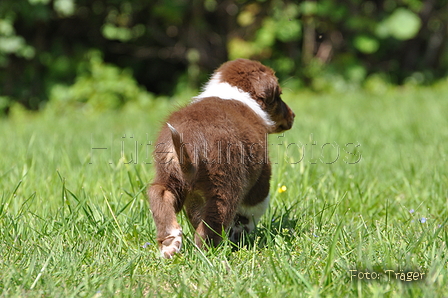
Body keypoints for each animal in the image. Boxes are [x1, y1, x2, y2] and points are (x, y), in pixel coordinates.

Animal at [148, 58, 294, 258]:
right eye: (279, 96)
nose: (293, 116)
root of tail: (191, 140)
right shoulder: (261, 175)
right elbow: (252, 209)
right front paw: (240, 236)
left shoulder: (194, 198)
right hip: (225, 185)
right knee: (210, 226)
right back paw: (207, 253)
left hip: (170, 173)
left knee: (158, 194)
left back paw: (170, 244)